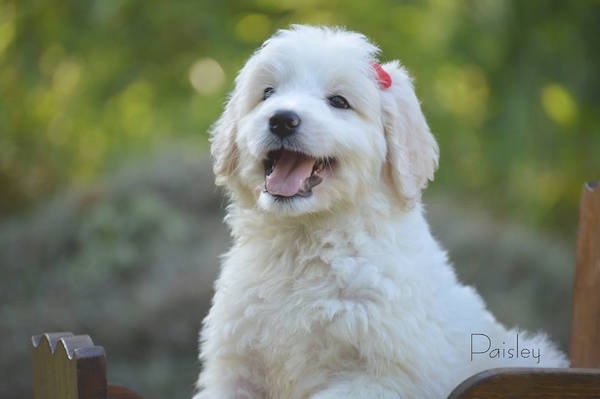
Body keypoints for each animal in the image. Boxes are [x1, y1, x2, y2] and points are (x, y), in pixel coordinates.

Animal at [193, 25, 568, 399]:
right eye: (268, 93)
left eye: (338, 102)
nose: (282, 119)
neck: (304, 240)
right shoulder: (233, 368)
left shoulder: (381, 376)